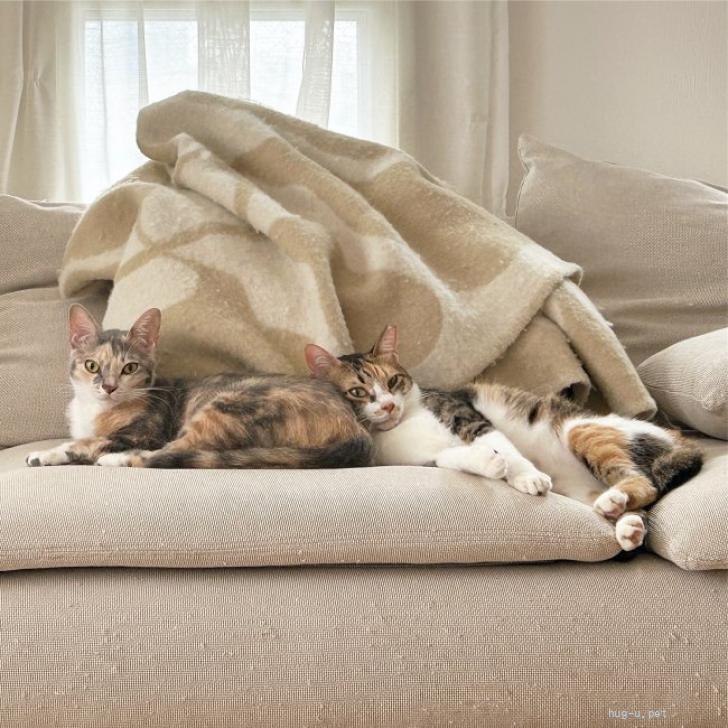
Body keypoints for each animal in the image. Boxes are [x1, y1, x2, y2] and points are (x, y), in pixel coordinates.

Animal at [26, 305, 373, 470]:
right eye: (92, 366)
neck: (97, 411)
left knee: (174, 453)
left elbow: (89, 442)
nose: (109, 387)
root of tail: (353, 427)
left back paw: (116, 460)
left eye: (129, 368)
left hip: (228, 406)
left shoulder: (145, 433)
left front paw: (45, 454)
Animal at [305, 325, 703, 551]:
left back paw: (617, 505)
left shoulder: (468, 415)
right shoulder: (425, 459)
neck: (405, 423)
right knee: (635, 501)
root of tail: (682, 439)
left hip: (583, 429)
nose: (387, 405)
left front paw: (528, 477)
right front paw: (489, 463)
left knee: (642, 483)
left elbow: (508, 449)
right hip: (581, 490)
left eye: (392, 381)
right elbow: (454, 458)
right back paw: (626, 525)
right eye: (358, 392)